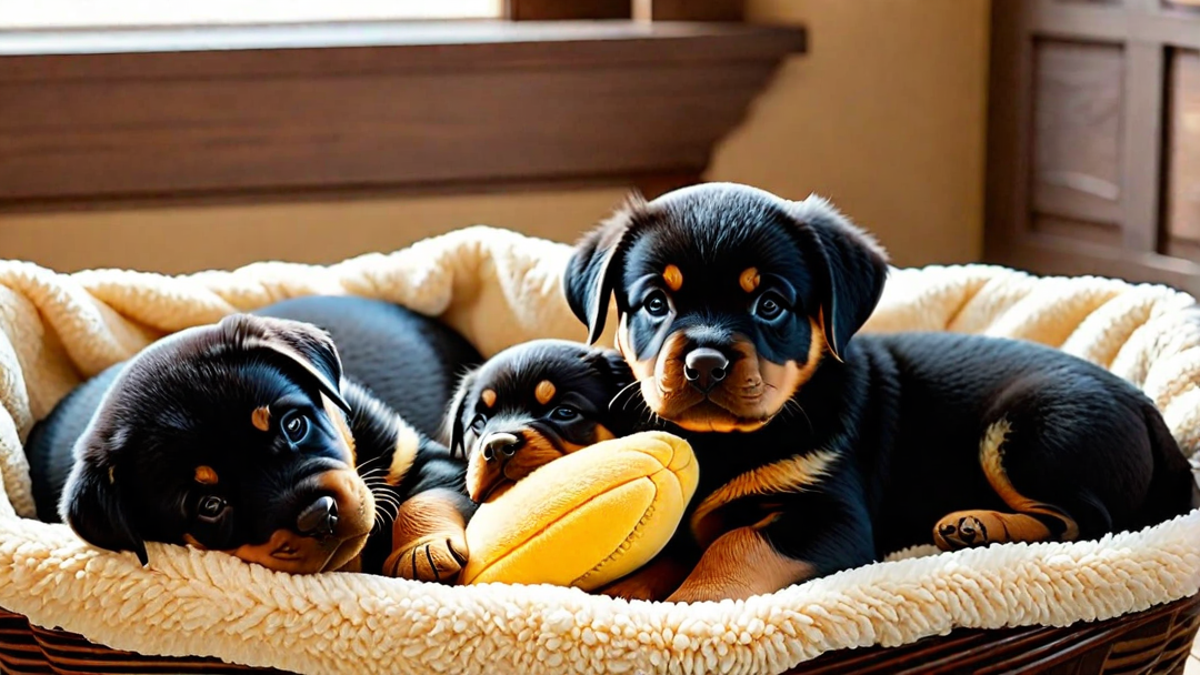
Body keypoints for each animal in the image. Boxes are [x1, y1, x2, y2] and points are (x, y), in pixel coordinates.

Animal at [24, 296, 482, 581]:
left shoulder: (419, 454)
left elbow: (421, 500)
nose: (318, 515)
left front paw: (421, 551)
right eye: (210, 505)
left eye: (294, 425)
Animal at [564, 182, 1200, 598]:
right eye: (655, 303)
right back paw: (973, 528)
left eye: (769, 304)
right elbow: (652, 560)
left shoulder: (830, 516)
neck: (723, 444)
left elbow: (737, 543)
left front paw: (693, 603)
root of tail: (1150, 411)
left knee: (1088, 523)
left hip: (1032, 431)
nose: (704, 363)